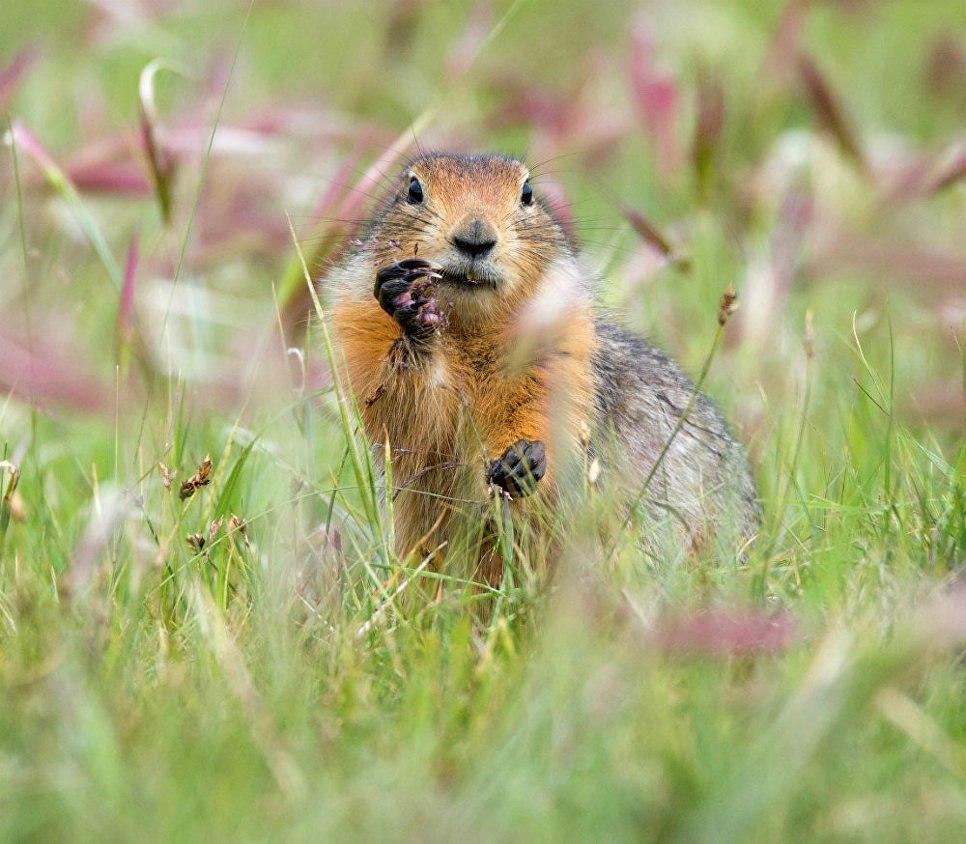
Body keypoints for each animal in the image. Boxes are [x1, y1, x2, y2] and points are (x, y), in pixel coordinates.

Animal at [328, 152, 760, 576]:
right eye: (414, 190)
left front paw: (523, 460)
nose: (475, 237)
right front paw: (406, 303)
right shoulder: (359, 333)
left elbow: (552, 414)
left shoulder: (566, 353)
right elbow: (403, 413)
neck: (470, 331)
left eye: (528, 193)